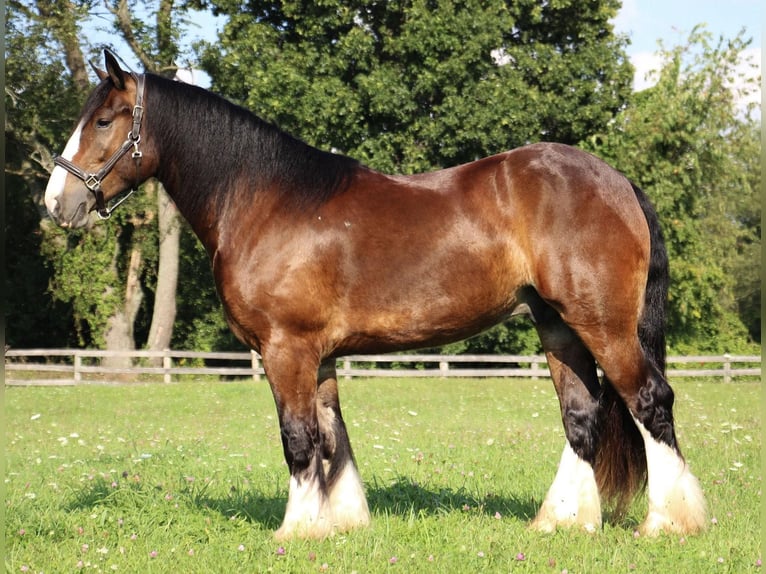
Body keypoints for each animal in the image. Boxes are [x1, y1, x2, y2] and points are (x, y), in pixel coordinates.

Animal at [46, 50, 708, 540]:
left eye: (104, 120)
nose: (57, 202)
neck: (267, 201)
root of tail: (617, 181)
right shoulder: (319, 355)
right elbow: (331, 437)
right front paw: (340, 524)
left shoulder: (287, 349)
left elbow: (298, 439)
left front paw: (296, 532)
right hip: (559, 327)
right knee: (582, 417)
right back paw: (561, 522)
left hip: (603, 325)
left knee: (651, 401)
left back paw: (671, 523)